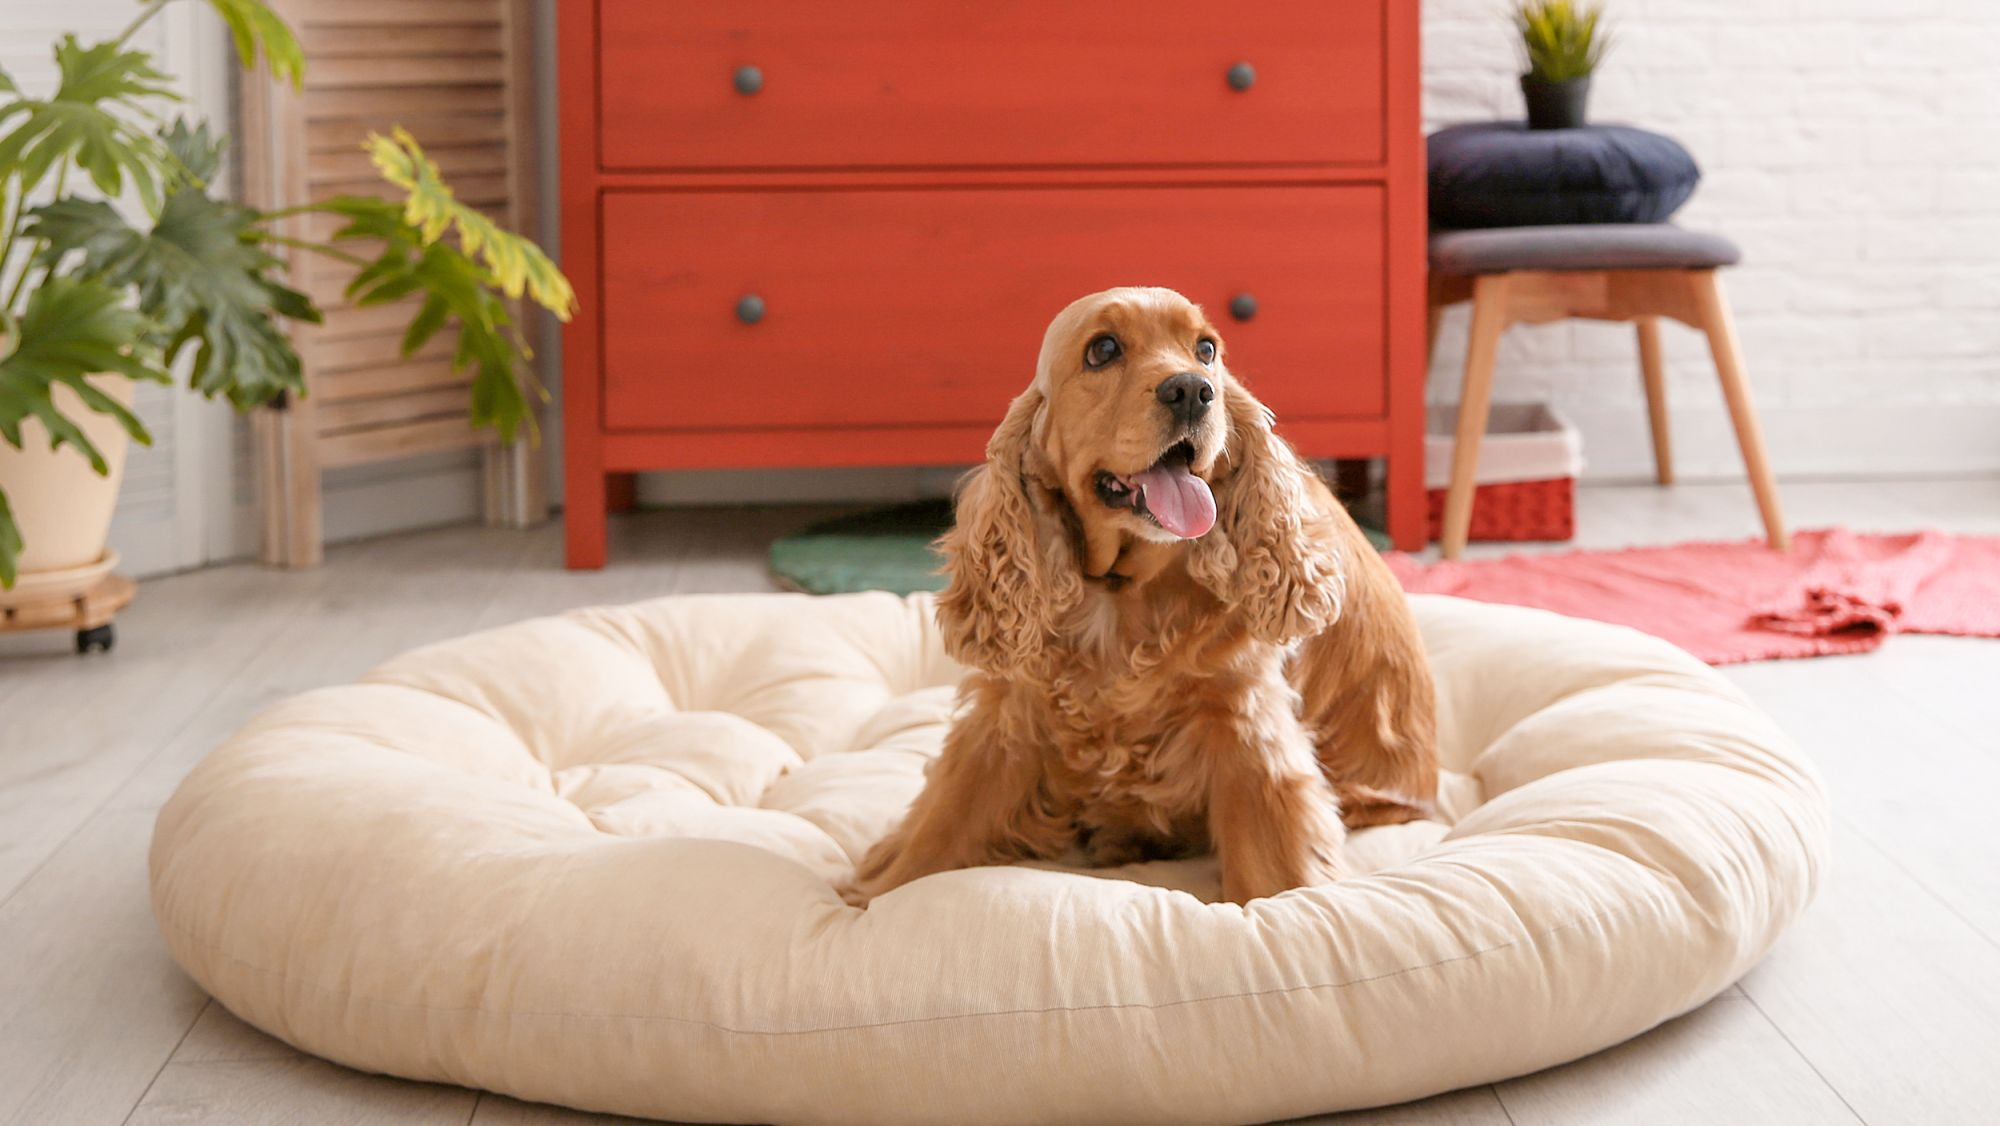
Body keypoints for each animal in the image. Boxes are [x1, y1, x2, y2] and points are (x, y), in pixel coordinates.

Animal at [844, 286, 1440, 904]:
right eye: (1103, 350)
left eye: (1207, 349)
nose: (1192, 390)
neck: (1119, 591)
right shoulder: (1010, 712)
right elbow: (941, 825)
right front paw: (871, 897)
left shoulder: (1245, 725)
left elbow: (1272, 871)